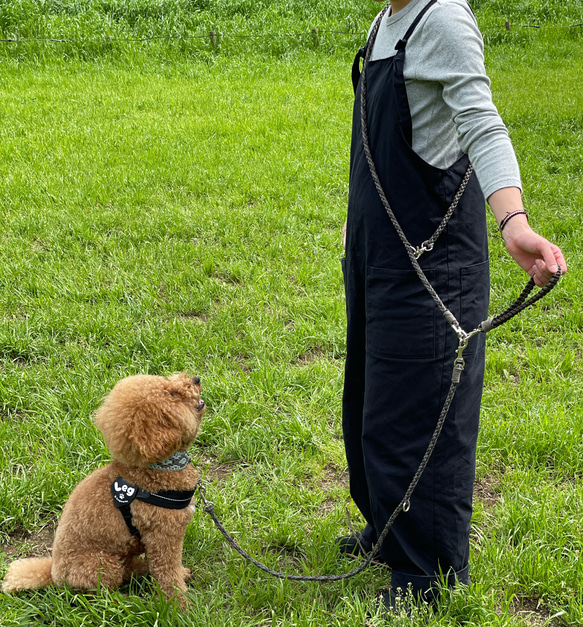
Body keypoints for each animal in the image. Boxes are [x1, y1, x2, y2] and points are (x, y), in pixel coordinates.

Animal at [1, 376, 208, 604]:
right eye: (172, 394)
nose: (196, 379)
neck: (156, 468)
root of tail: (54, 575)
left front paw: (180, 578)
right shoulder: (163, 537)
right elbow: (168, 576)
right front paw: (178, 606)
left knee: (129, 569)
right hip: (102, 565)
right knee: (103, 595)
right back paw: (126, 601)